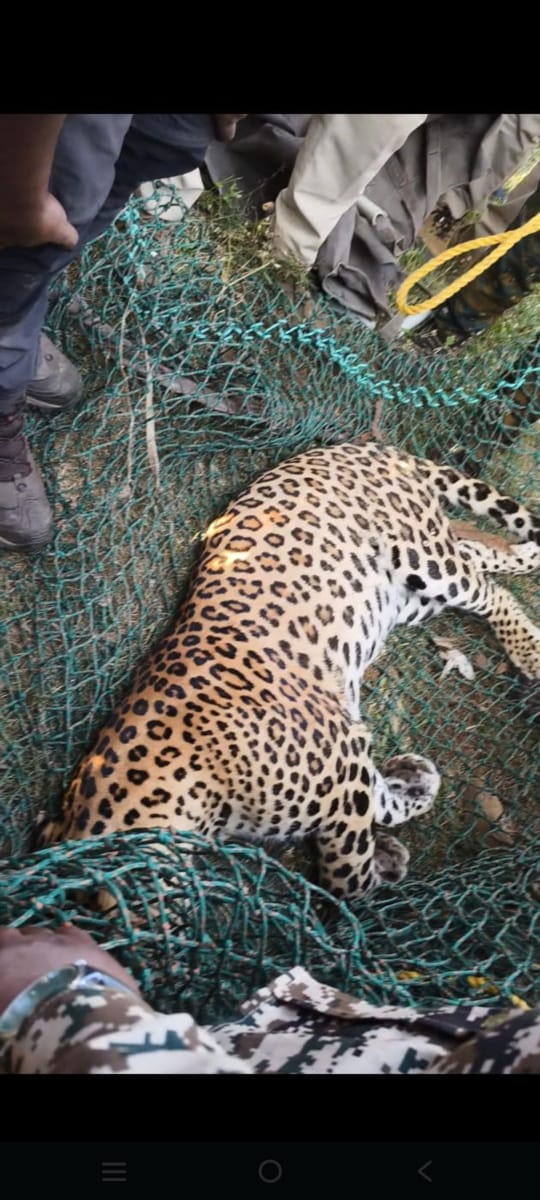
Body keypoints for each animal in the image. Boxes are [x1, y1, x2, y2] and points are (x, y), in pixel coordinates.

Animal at [36, 441, 540, 902]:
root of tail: (361, 445)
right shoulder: (349, 766)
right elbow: (382, 802)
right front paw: (412, 792)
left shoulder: (341, 776)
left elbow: (346, 880)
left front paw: (378, 866)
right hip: (406, 597)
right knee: (478, 556)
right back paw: (527, 560)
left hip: (423, 557)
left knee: (483, 583)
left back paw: (529, 649)